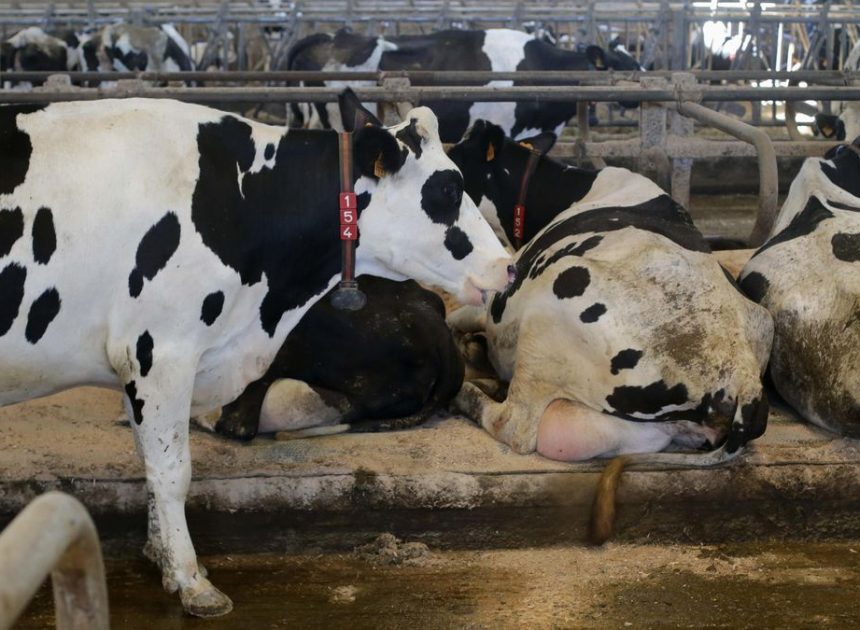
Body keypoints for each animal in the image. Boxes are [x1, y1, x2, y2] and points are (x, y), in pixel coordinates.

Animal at [446, 121, 773, 537]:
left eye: (456, 159)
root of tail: (742, 377)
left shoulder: (497, 302)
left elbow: (459, 315)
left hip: (551, 307)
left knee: (514, 426)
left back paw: (465, 392)